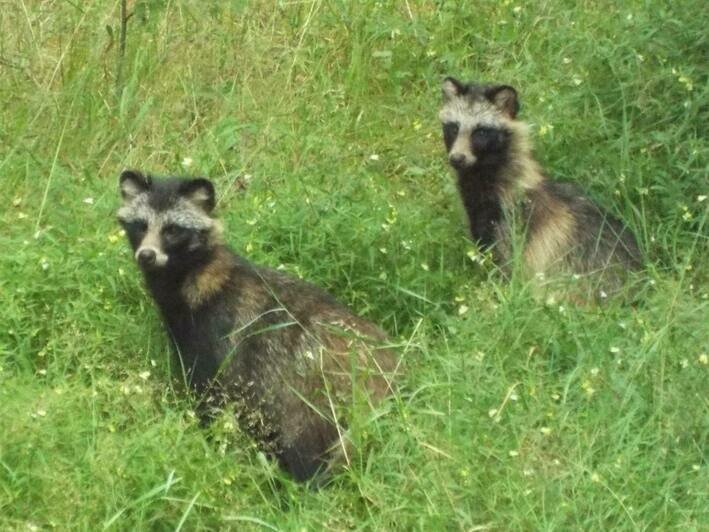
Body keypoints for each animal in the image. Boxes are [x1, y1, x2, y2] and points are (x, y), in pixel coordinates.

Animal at [113, 170, 396, 482]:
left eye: (172, 230)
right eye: (140, 226)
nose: (147, 255)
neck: (192, 276)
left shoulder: (216, 335)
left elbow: (210, 395)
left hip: (312, 386)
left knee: (305, 440)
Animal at [436, 78, 640, 300]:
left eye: (481, 132)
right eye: (453, 128)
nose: (457, 158)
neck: (481, 174)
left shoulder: (512, 220)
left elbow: (506, 267)